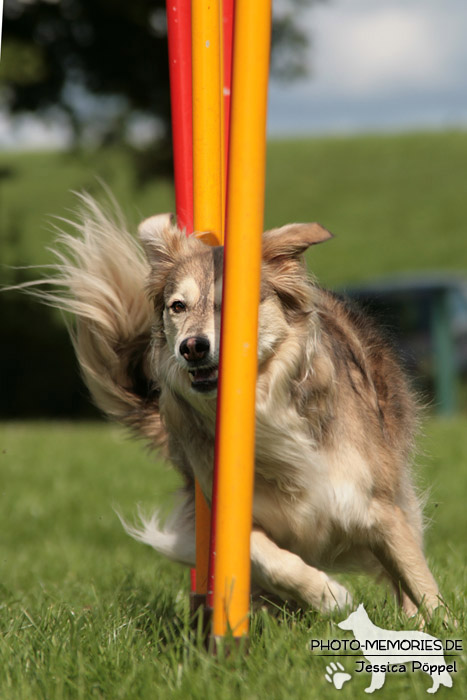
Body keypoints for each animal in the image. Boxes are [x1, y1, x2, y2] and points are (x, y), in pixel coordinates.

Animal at [25, 196, 442, 616]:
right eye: (177, 306)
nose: (192, 347)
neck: (265, 404)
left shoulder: (376, 504)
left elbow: (417, 577)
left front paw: (440, 622)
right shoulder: (227, 512)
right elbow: (267, 559)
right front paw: (328, 594)